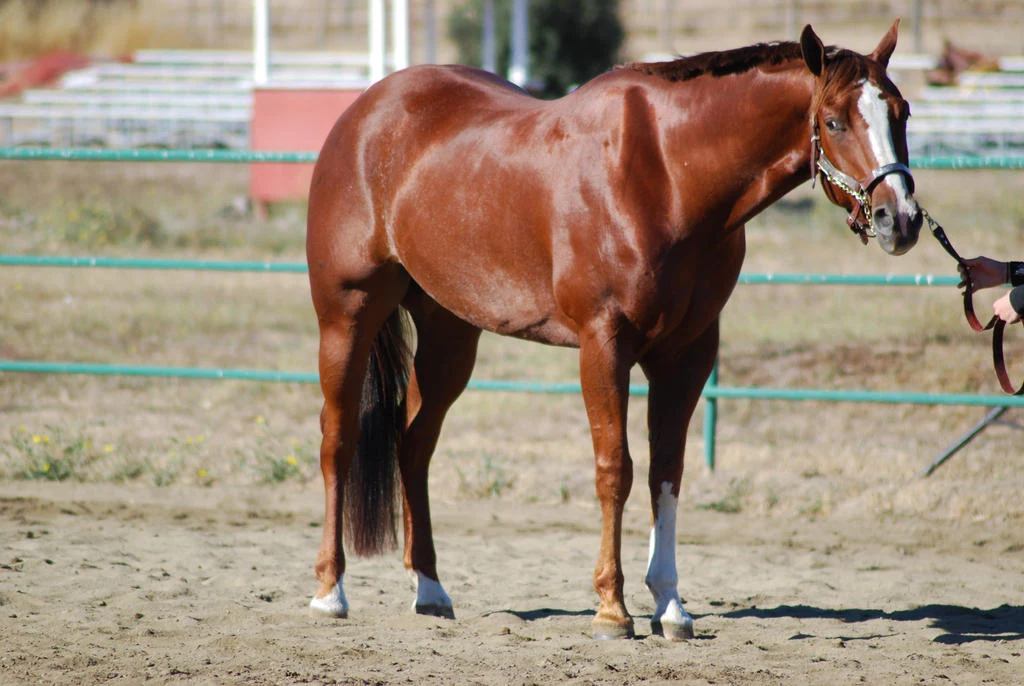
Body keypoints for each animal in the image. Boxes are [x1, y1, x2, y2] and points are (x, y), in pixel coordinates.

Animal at [301, 22, 921, 647]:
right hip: (347, 315)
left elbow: (666, 472)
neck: (666, 175)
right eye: (834, 121)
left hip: (449, 334)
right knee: (337, 440)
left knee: (413, 444)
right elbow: (614, 469)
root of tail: (364, 112)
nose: (901, 219)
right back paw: (330, 592)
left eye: (902, 112)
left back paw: (429, 590)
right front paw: (611, 608)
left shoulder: (687, 355)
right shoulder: (604, 344)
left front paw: (670, 606)